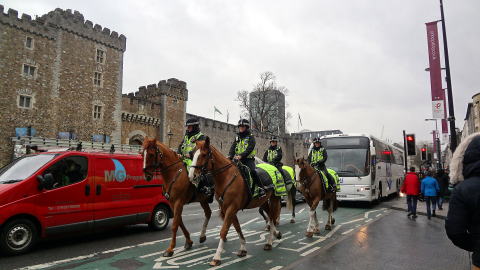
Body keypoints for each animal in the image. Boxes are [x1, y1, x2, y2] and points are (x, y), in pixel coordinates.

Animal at [190, 137, 284, 266]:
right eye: (192, 154)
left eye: (204, 155)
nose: (192, 176)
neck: (226, 177)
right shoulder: (228, 209)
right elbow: (237, 227)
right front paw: (243, 248)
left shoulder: (231, 208)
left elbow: (224, 231)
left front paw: (217, 257)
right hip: (263, 201)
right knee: (270, 217)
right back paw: (276, 234)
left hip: (274, 198)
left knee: (273, 217)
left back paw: (269, 242)